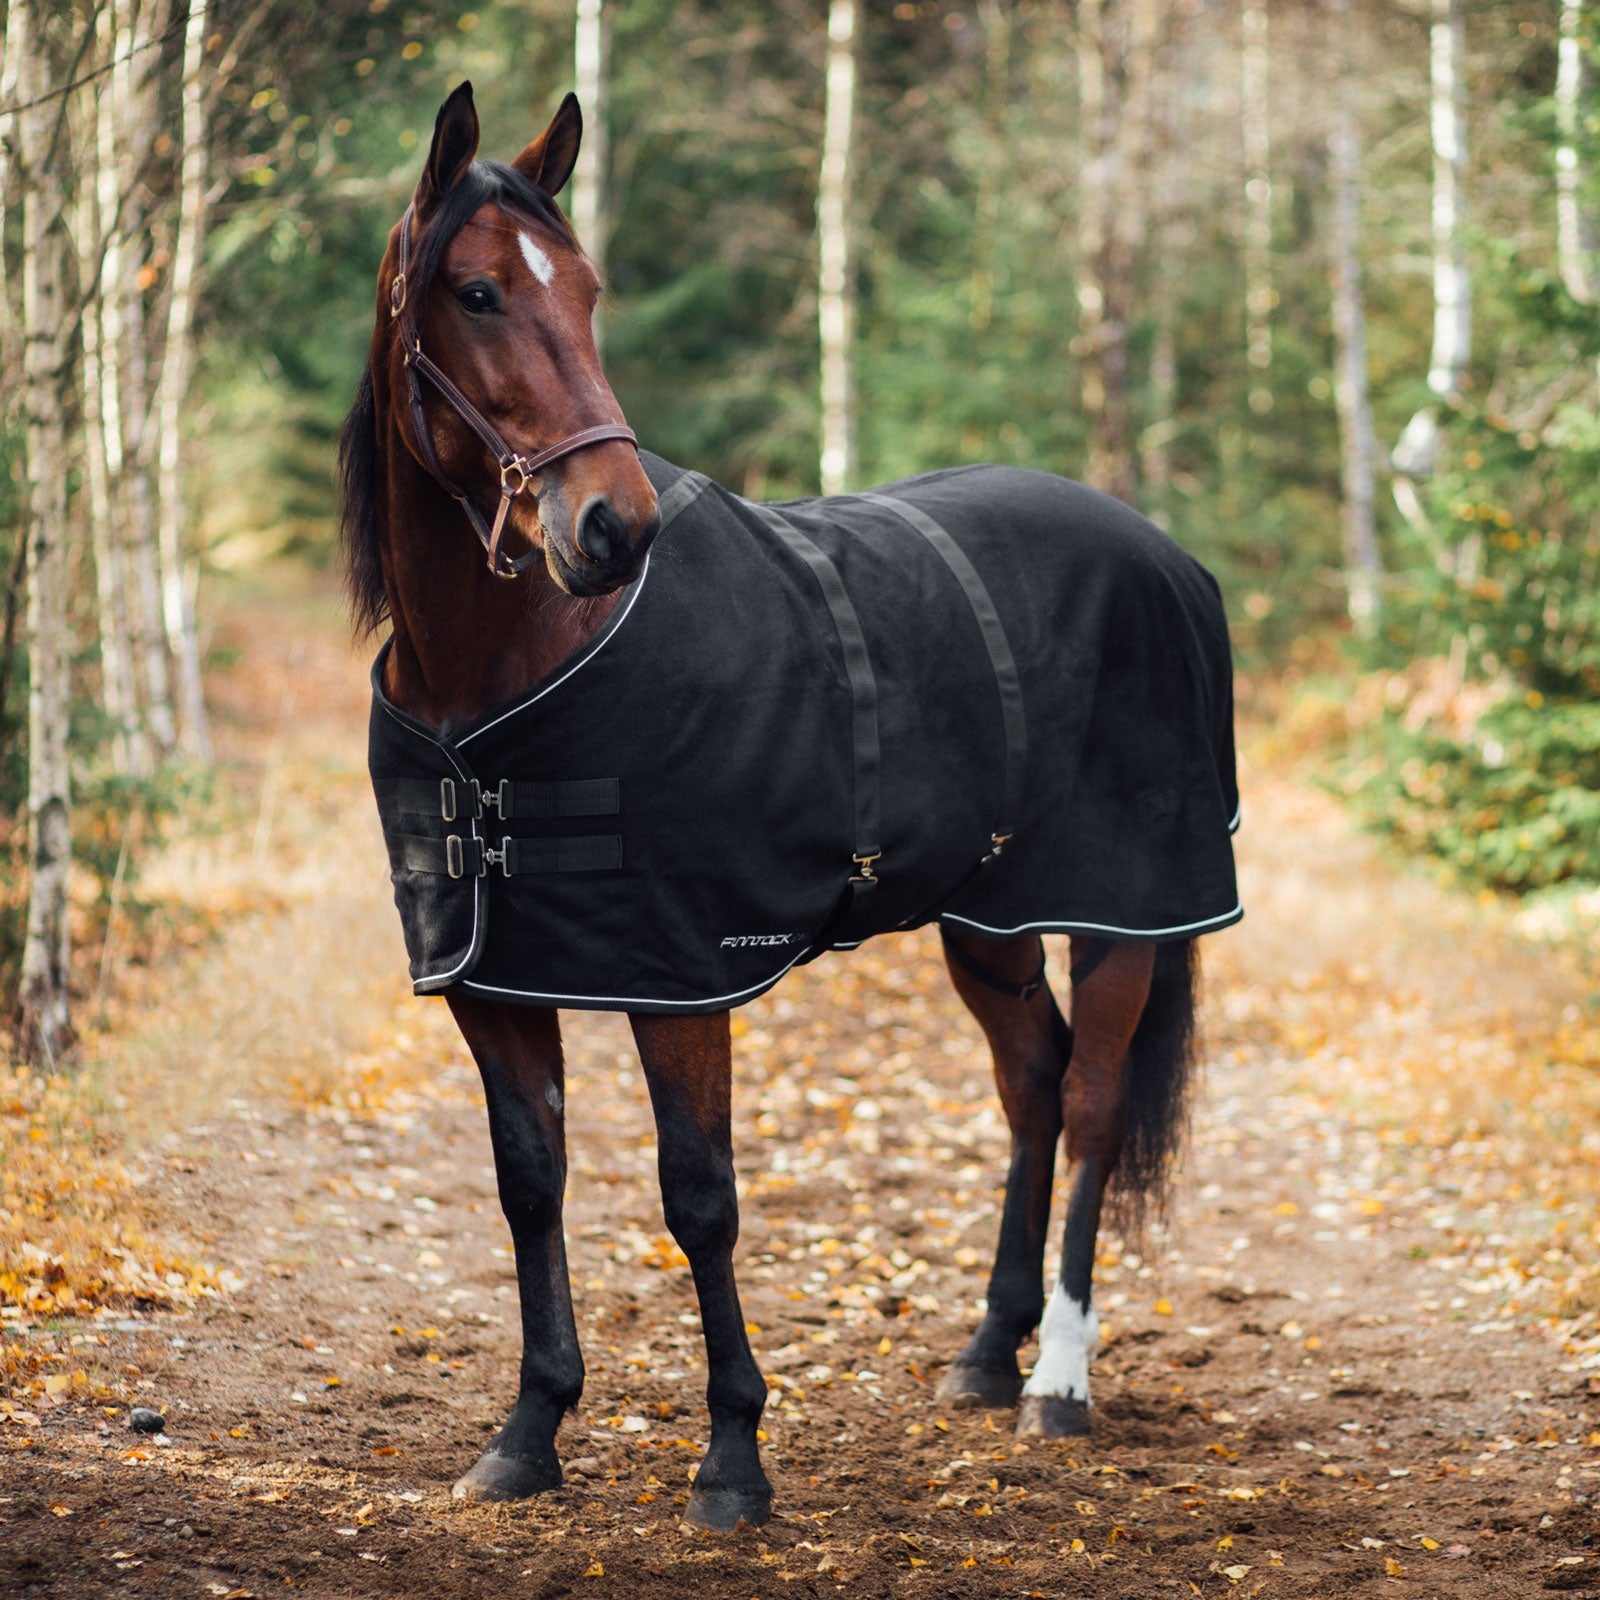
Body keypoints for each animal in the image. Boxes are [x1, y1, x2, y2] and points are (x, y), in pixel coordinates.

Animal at [338, 82, 1240, 1531]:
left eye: (586, 291)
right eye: (476, 292)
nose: (613, 528)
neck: (504, 669)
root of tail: (1162, 549)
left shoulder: (683, 977)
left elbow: (699, 1196)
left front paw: (732, 1459)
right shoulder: (493, 981)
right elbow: (529, 1186)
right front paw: (528, 1434)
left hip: (1121, 915)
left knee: (1096, 1102)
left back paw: (1059, 1381)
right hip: (987, 917)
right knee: (1033, 1084)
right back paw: (988, 1353)